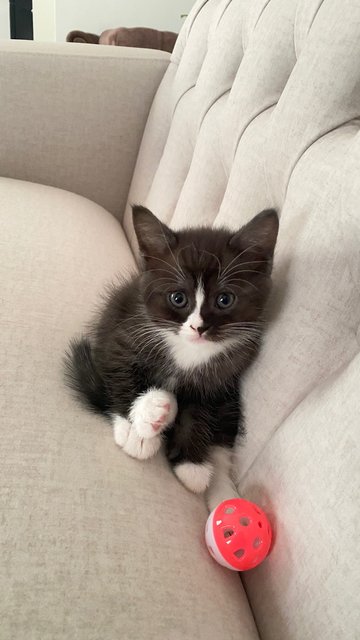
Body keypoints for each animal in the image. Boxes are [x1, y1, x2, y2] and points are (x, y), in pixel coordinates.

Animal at [65, 208, 278, 502]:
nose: (198, 327)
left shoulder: (221, 378)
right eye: (178, 298)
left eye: (224, 299)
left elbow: (199, 413)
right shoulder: (121, 338)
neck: (189, 351)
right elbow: (120, 376)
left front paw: (192, 466)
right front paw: (135, 430)